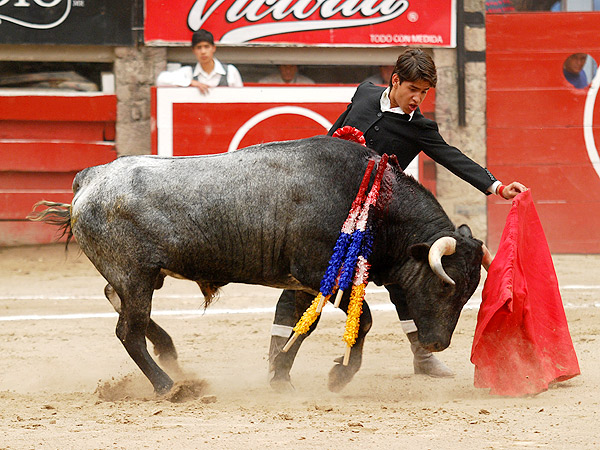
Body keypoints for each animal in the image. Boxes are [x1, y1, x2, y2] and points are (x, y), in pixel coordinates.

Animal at [29, 136, 488, 394]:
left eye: (470, 292)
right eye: (444, 285)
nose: (437, 344)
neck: (372, 202)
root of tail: (92, 176)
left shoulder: (307, 282)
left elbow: (300, 326)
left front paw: (281, 375)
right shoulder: (318, 273)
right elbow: (364, 321)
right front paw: (338, 377)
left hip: (141, 277)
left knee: (118, 304)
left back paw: (170, 354)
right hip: (136, 275)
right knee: (128, 330)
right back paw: (168, 385)